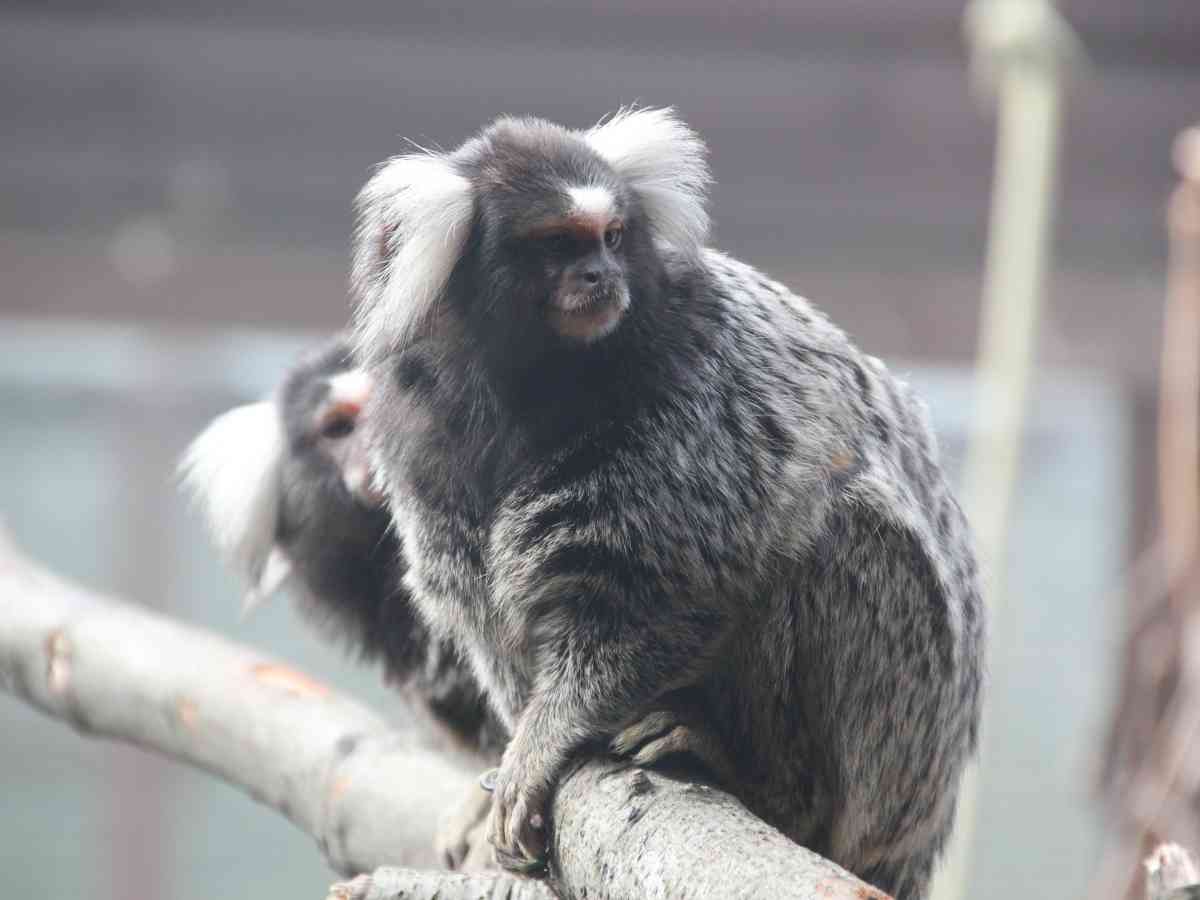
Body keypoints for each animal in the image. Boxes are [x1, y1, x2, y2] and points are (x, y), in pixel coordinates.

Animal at [349, 107, 984, 899]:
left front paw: (542, 742)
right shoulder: (422, 441)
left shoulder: (690, 396)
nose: (600, 276)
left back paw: (758, 778)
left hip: (902, 744)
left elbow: (655, 601)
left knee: (839, 537)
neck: (528, 386)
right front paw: (514, 739)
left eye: (613, 235)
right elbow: (489, 618)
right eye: (557, 242)